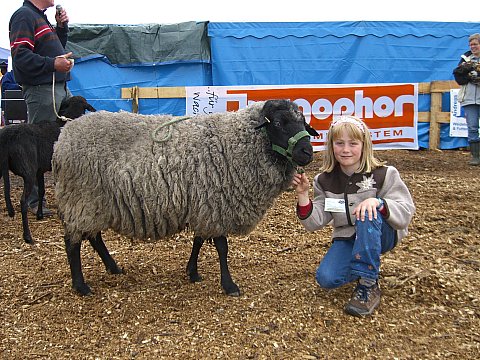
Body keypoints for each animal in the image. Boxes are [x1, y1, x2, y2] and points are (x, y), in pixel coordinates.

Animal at [0, 95, 96, 245]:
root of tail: (7, 137)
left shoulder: (40, 170)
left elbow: (42, 191)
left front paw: (40, 214)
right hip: (29, 172)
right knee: (23, 202)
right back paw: (28, 237)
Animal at [53, 98, 318, 296]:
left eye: (303, 122)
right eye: (279, 122)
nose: (307, 151)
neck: (237, 142)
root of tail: (63, 137)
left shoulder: (203, 203)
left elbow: (199, 240)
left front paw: (192, 272)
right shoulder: (215, 203)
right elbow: (222, 247)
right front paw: (229, 285)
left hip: (94, 203)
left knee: (94, 237)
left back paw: (113, 267)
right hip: (81, 198)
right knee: (72, 243)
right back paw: (81, 286)